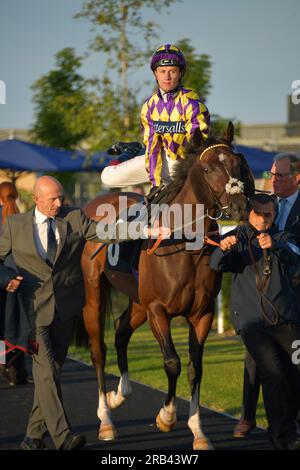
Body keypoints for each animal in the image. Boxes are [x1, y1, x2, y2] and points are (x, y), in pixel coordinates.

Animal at [81, 123, 254, 450]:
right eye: (209, 168)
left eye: (240, 163)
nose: (240, 206)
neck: (184, 244)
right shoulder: (157, 310)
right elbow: (172, 362)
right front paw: (166, 416)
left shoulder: (202, 314)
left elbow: (195, 368)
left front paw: (198, 432)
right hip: (95, 293)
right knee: (99, 349)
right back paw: (106, 419)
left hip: (136, 300)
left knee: (121, 331)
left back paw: (120, 394)